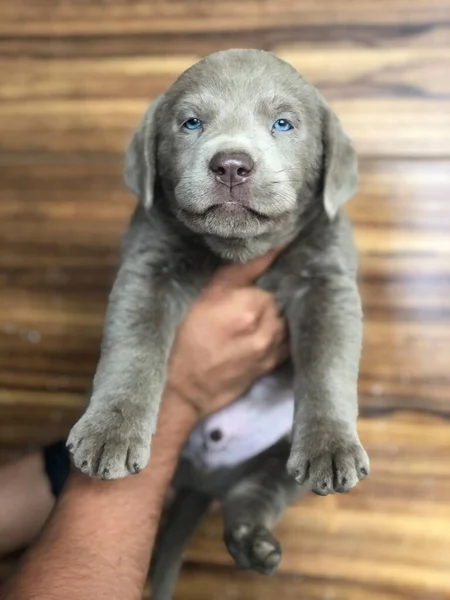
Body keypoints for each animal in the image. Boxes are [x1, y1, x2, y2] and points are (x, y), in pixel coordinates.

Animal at [67, 48, 370, 592]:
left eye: (283, 123)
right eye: (191, 122)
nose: (231, 164)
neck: (235, 251)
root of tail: (204, 479)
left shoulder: (327, 280)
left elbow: (327, 366)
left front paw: (332, 445)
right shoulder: (149, 266)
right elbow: (133, 350)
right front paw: (109, 432)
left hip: (275, 454)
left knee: (260, 489)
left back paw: (254, 541)